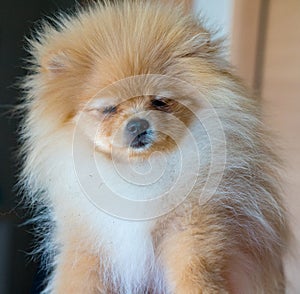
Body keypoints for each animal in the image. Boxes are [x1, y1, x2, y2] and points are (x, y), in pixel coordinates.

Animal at [20, 0, 288, 294]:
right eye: (109, 109)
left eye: (159, 102)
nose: (137, 124)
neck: (139, 171)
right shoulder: (90, 239)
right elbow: (79, 279)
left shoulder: (190, 224)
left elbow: (193, 268)